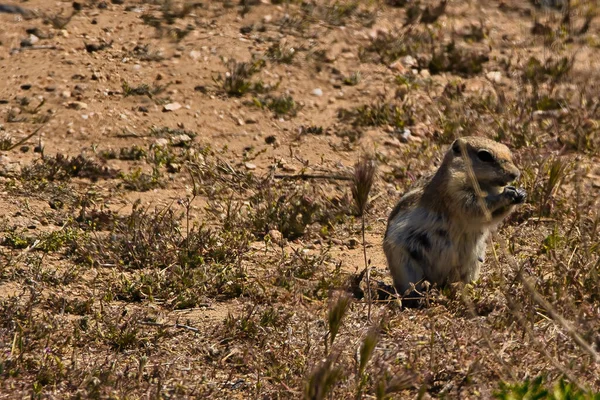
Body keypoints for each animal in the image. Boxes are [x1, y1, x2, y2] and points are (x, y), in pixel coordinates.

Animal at [384, 136, 524, 296]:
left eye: (508, 151)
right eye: (484, 155)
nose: (516, 174)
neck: (484, 185)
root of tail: (438, 280)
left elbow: (493, 216)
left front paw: (521, 193)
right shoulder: (456, 191)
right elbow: (478, 207)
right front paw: (507, 194)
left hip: (474, 262)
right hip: (404, 264)